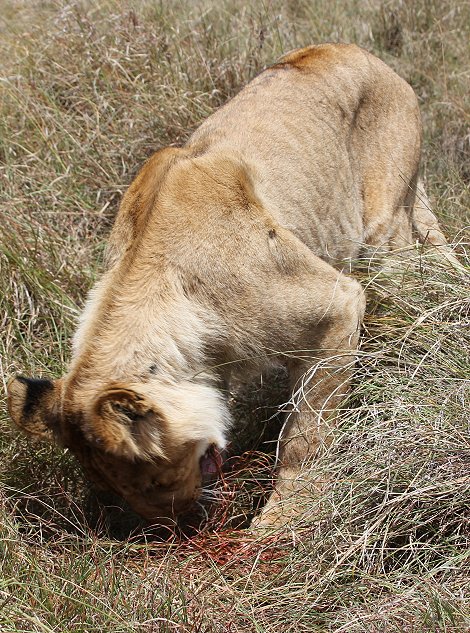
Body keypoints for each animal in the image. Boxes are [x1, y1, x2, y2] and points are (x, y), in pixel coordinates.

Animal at [5, 43, 458, 528]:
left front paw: (284, 520)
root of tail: (362, 52)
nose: (176, 525)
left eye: (155, 481)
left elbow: (305, 435)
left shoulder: (338, 307)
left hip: (384, 235)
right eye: (117, 491)